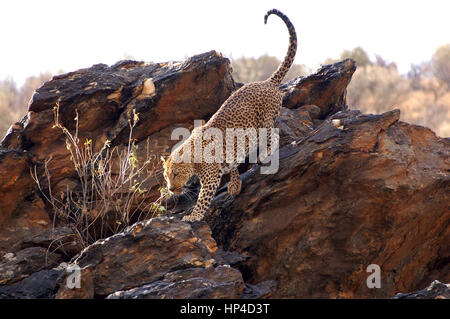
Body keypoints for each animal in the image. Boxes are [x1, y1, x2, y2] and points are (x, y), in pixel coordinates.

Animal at [160, 8, 298, 222]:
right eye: (166, 176)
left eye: (175, 174)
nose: (171, 189)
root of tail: (267, 82)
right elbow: (232, 164)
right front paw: (234, 185)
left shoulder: (210, 178)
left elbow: (202, 200)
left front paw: (192, 217)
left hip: (264, 123)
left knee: (274, 135)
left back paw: (265, 154)